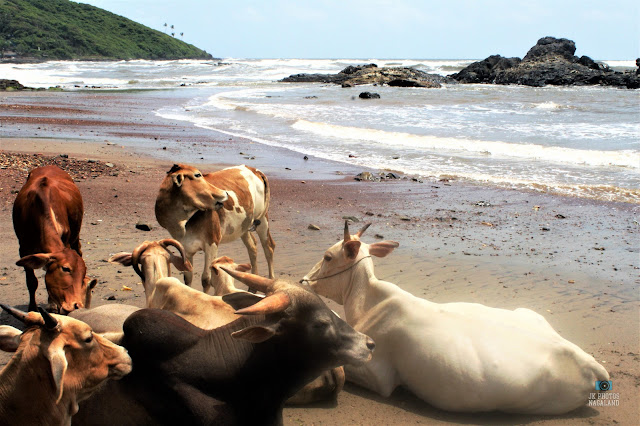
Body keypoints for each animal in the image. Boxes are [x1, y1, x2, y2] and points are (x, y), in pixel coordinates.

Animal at [12, 166, 96, 312]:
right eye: (65, 269)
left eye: (82, 275)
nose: (76, 305)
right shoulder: (23, 247)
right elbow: (31, 282)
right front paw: (33, 308)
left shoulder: (65, 242)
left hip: (75, 235)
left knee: (78, 250)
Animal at [156, 164, 276, 296]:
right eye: (197, 175)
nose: (226, 193)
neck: (183, 223)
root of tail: (254, 170)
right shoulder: (186, 248)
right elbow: (187, 277)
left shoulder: (212, 244)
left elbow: (206, 279)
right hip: (243, 227)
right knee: (252, 246)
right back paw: (252, 286)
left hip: (262, 219)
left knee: (268, 247)